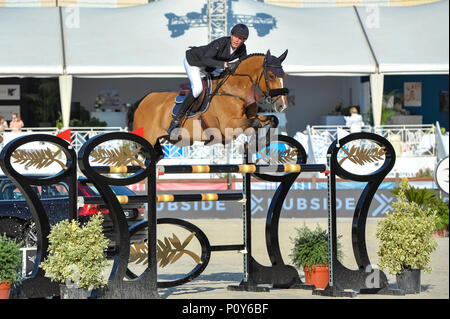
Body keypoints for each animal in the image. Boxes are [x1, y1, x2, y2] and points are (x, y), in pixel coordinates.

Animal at [127, 49, 288, 160]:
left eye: (284, 76)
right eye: (271, 76)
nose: (282, 106)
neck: (234, 90)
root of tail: (142, 101)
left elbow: (271, 119)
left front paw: (256, 145)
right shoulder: (228, 126)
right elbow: (255, 123)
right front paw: (252, 145)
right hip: (147, 138)